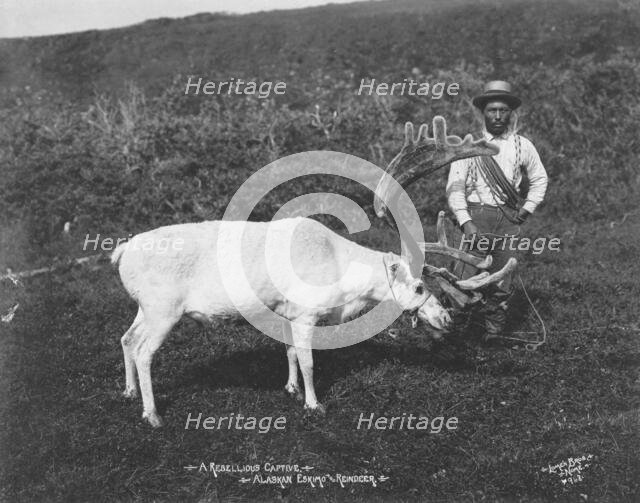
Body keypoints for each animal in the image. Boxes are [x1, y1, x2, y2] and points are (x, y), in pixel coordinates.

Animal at [112, 116, 515, 427]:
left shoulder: (289, 311)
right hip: (164, 309)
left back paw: (128, 392)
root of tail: (122, 252)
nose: (447, 319)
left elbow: (290, 351)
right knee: (145, 351)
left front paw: (290, 389)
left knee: (127, 338)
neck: (343, 278)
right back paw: (152, 414)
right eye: (419, 287)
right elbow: (307, 360)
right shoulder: (308, 312)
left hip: (145, 307)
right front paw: (313, 403)